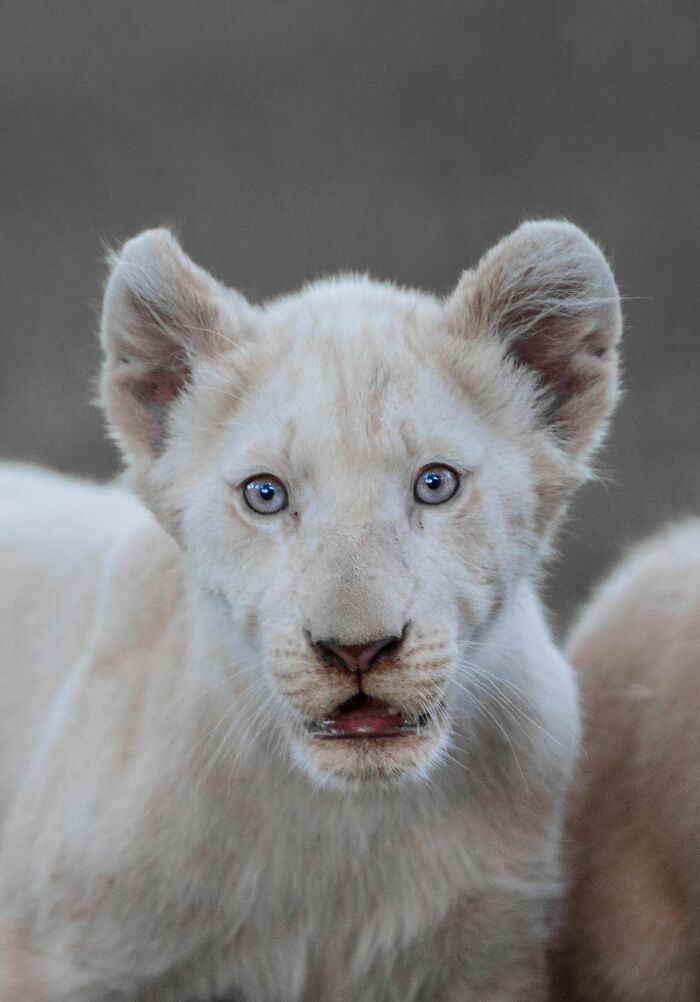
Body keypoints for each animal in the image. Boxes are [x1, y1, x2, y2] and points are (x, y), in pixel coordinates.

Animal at [0, 220, 621, 1000]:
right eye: (265, 495)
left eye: (436, 484)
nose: (357, 650)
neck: (340, 832)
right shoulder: (67, 962)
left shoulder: (492, 957)